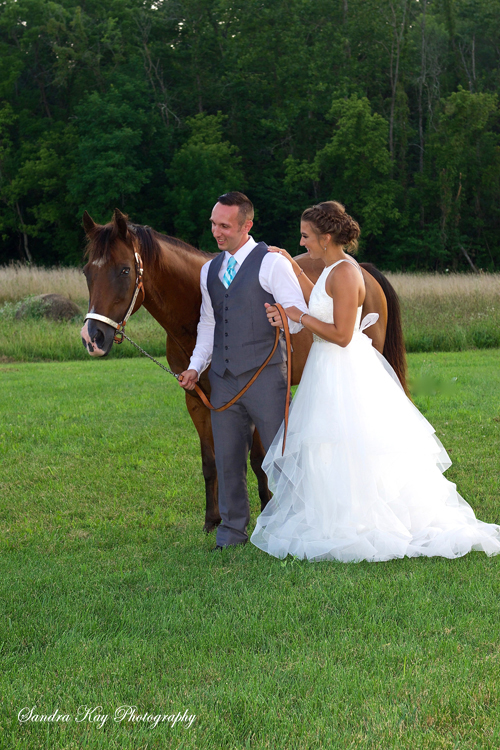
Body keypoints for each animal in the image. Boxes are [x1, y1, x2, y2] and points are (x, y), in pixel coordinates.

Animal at [79, 209, 406, 532]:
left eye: (124, 270)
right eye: (86, 272)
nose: (92, 337)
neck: (195, 318)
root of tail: (360, 269)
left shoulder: (256, 391)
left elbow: (260, 458)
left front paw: (267, 509)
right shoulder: (198, 400)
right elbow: (211, 461)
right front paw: (213, 519)